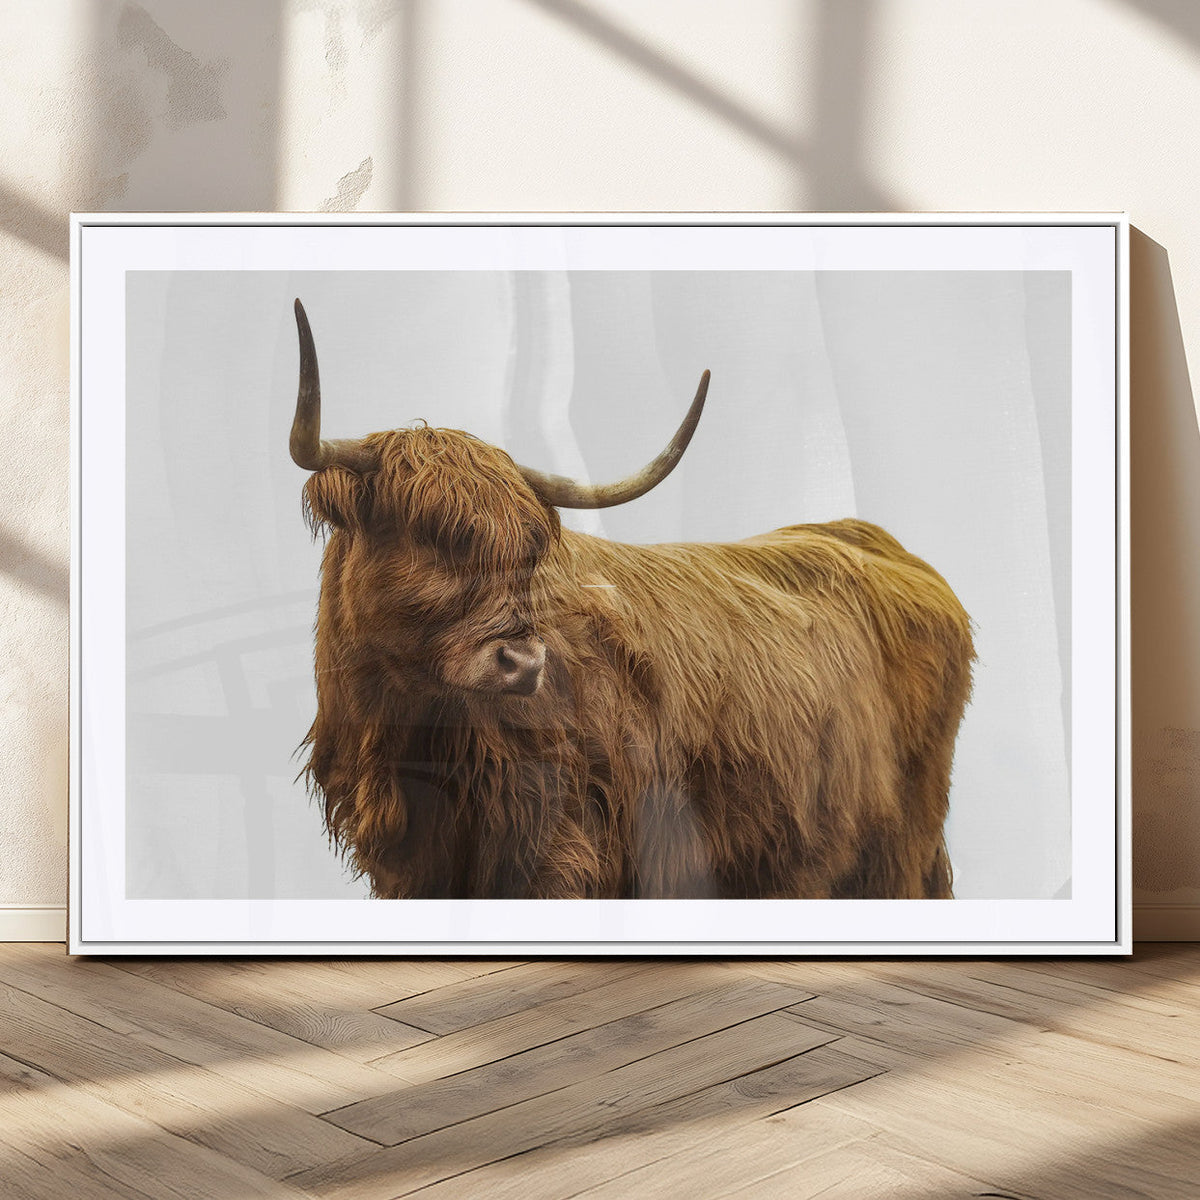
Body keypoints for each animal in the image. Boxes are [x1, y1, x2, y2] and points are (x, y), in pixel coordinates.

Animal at [290, 299, 974, 900]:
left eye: (531, 550)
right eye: (428, 535)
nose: (524, 663)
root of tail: (870, 539)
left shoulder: (563, 849)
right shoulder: (411, 868)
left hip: (897, 840)